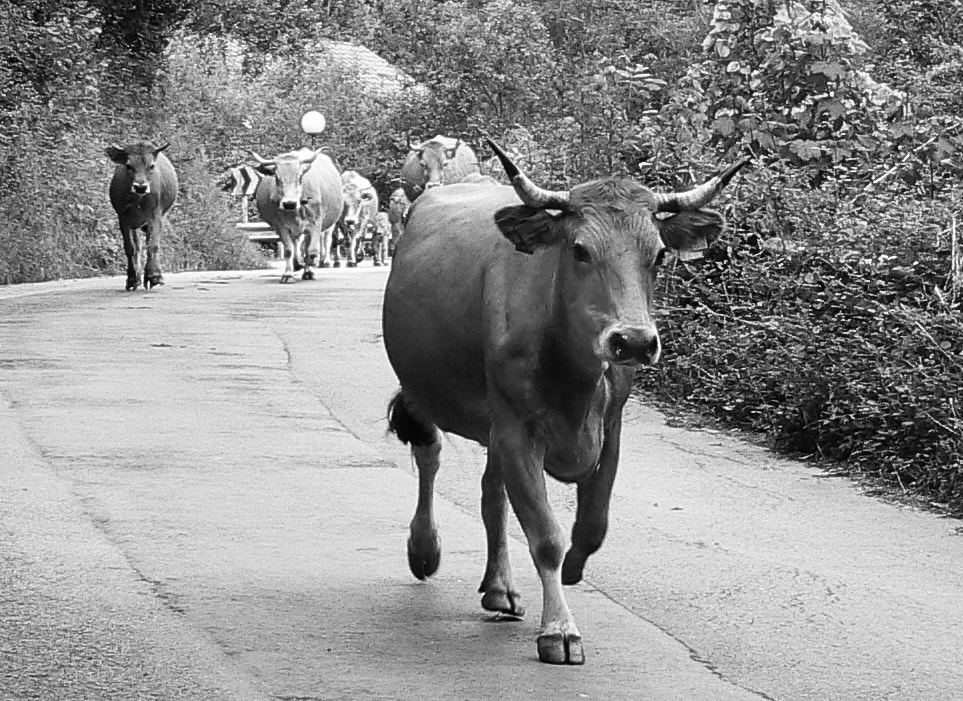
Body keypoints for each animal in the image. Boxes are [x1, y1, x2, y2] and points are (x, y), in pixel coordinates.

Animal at [105, 141, 179, 288]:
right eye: (128, 165)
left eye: (151, 166)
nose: (140, 187)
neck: (138, 200)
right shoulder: (123, 218)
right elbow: (130, 248)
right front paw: (132, 278)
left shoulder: (155, 216)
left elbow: (153, 244)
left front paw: (154, 275)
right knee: (138, 245)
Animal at [254, 148, 344, 282]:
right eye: (277, 177)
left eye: (300, 176)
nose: (289, 203)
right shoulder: (281, 226)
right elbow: (288, 250)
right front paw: (288, 274)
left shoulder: (316, 223)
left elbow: (311, 250)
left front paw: (310, 263)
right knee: (297, 244)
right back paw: (297, 264)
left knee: (310, 245)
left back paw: (309, 269)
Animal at [380, 138, 748, 668]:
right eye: (579, 249)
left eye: (658, 254)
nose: (634, 341)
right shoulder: (516, 430)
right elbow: (546, 535)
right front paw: (559, 629)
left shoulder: (610, 428)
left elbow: (591, 525)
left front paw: (574, 570)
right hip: (421, 386)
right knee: (429, 453)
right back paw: (425, 549)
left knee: (491, 493)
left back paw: (500, 586)